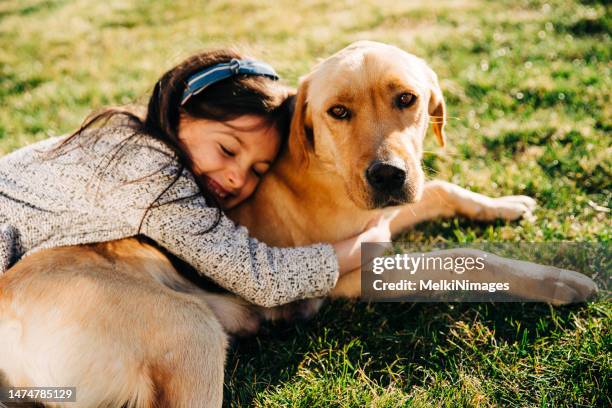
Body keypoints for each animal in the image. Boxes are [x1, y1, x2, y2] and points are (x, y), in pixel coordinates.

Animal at [0, 42, 596, 408]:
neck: (324, 168)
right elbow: (461, 257)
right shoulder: (351, 268)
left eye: (408, 99)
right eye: (338, 112)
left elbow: (441, 190)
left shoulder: (387, 211)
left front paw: (507, 204)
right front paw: (558, 282)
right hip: (189, 331)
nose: (386, 174)